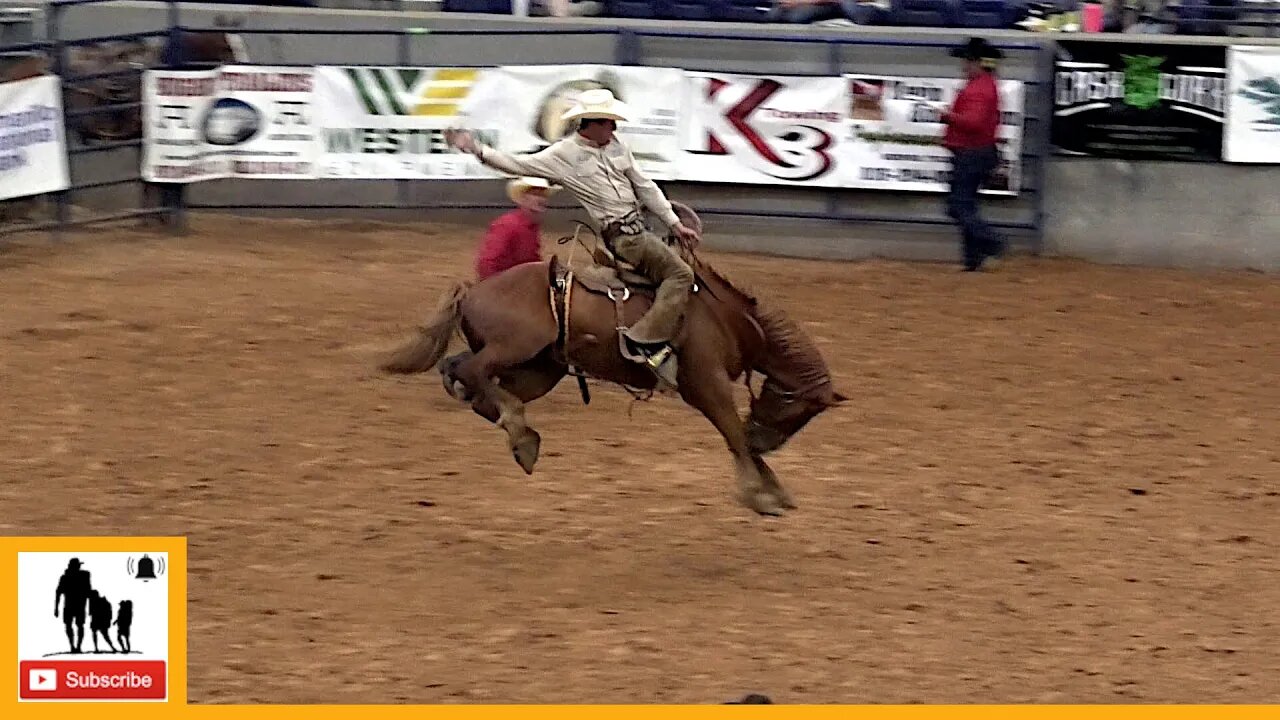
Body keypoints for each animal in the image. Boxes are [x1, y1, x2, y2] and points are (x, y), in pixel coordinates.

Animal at [373, 202, 844, 515]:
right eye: (798, 409)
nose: (766, 439)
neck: (724, 314)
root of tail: (473, 289)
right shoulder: (704, 383)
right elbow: (733, 434)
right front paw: (759, 495)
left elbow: (737, 436)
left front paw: (775, 490)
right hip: (517, 350)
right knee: (474, 374)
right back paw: (521, 436)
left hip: (542, 367)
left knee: (470, 380)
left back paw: (521, 435)